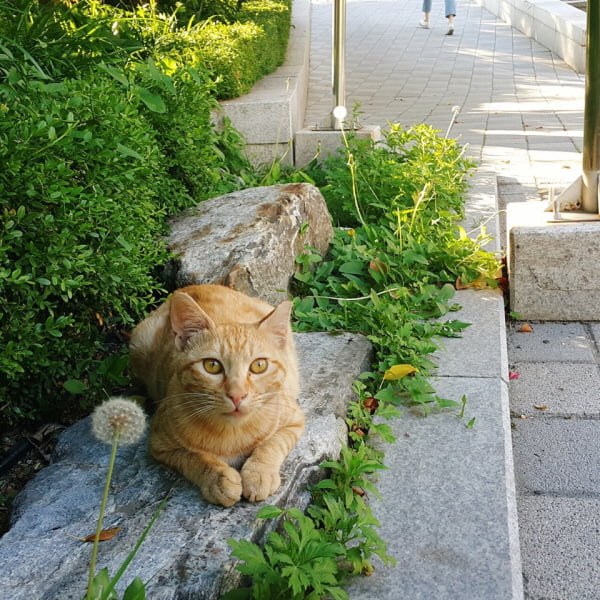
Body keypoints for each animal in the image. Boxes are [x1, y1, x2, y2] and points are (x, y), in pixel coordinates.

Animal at [129, 284, 302, 506]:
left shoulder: (294, 419)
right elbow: (193, 458)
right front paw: (218, 479)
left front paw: (259, 474)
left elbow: (272, 444)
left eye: (259, 365)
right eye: (212, 366)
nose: (237, 395)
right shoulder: (160, 444)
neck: (233, 432)